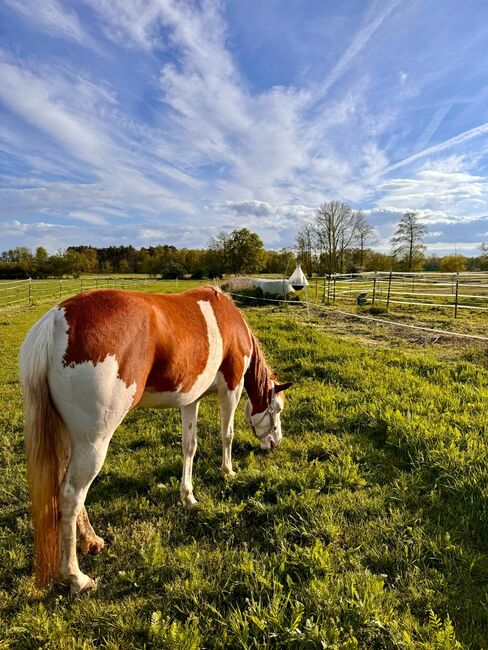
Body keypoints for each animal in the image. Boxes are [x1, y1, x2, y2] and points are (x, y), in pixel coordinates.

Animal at [20, 288, 290, 592]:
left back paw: (91, 540)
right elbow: (227, 435)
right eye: (276, 409)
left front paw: (188, 496)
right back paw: (75, 575)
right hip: (93, 443)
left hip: (68, 437)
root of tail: (56, 320)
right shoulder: (231, 388)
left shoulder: (191, 399)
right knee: (71, 495)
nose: (275, 443)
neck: (229, 320)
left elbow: (189, 447)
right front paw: (228, 471)